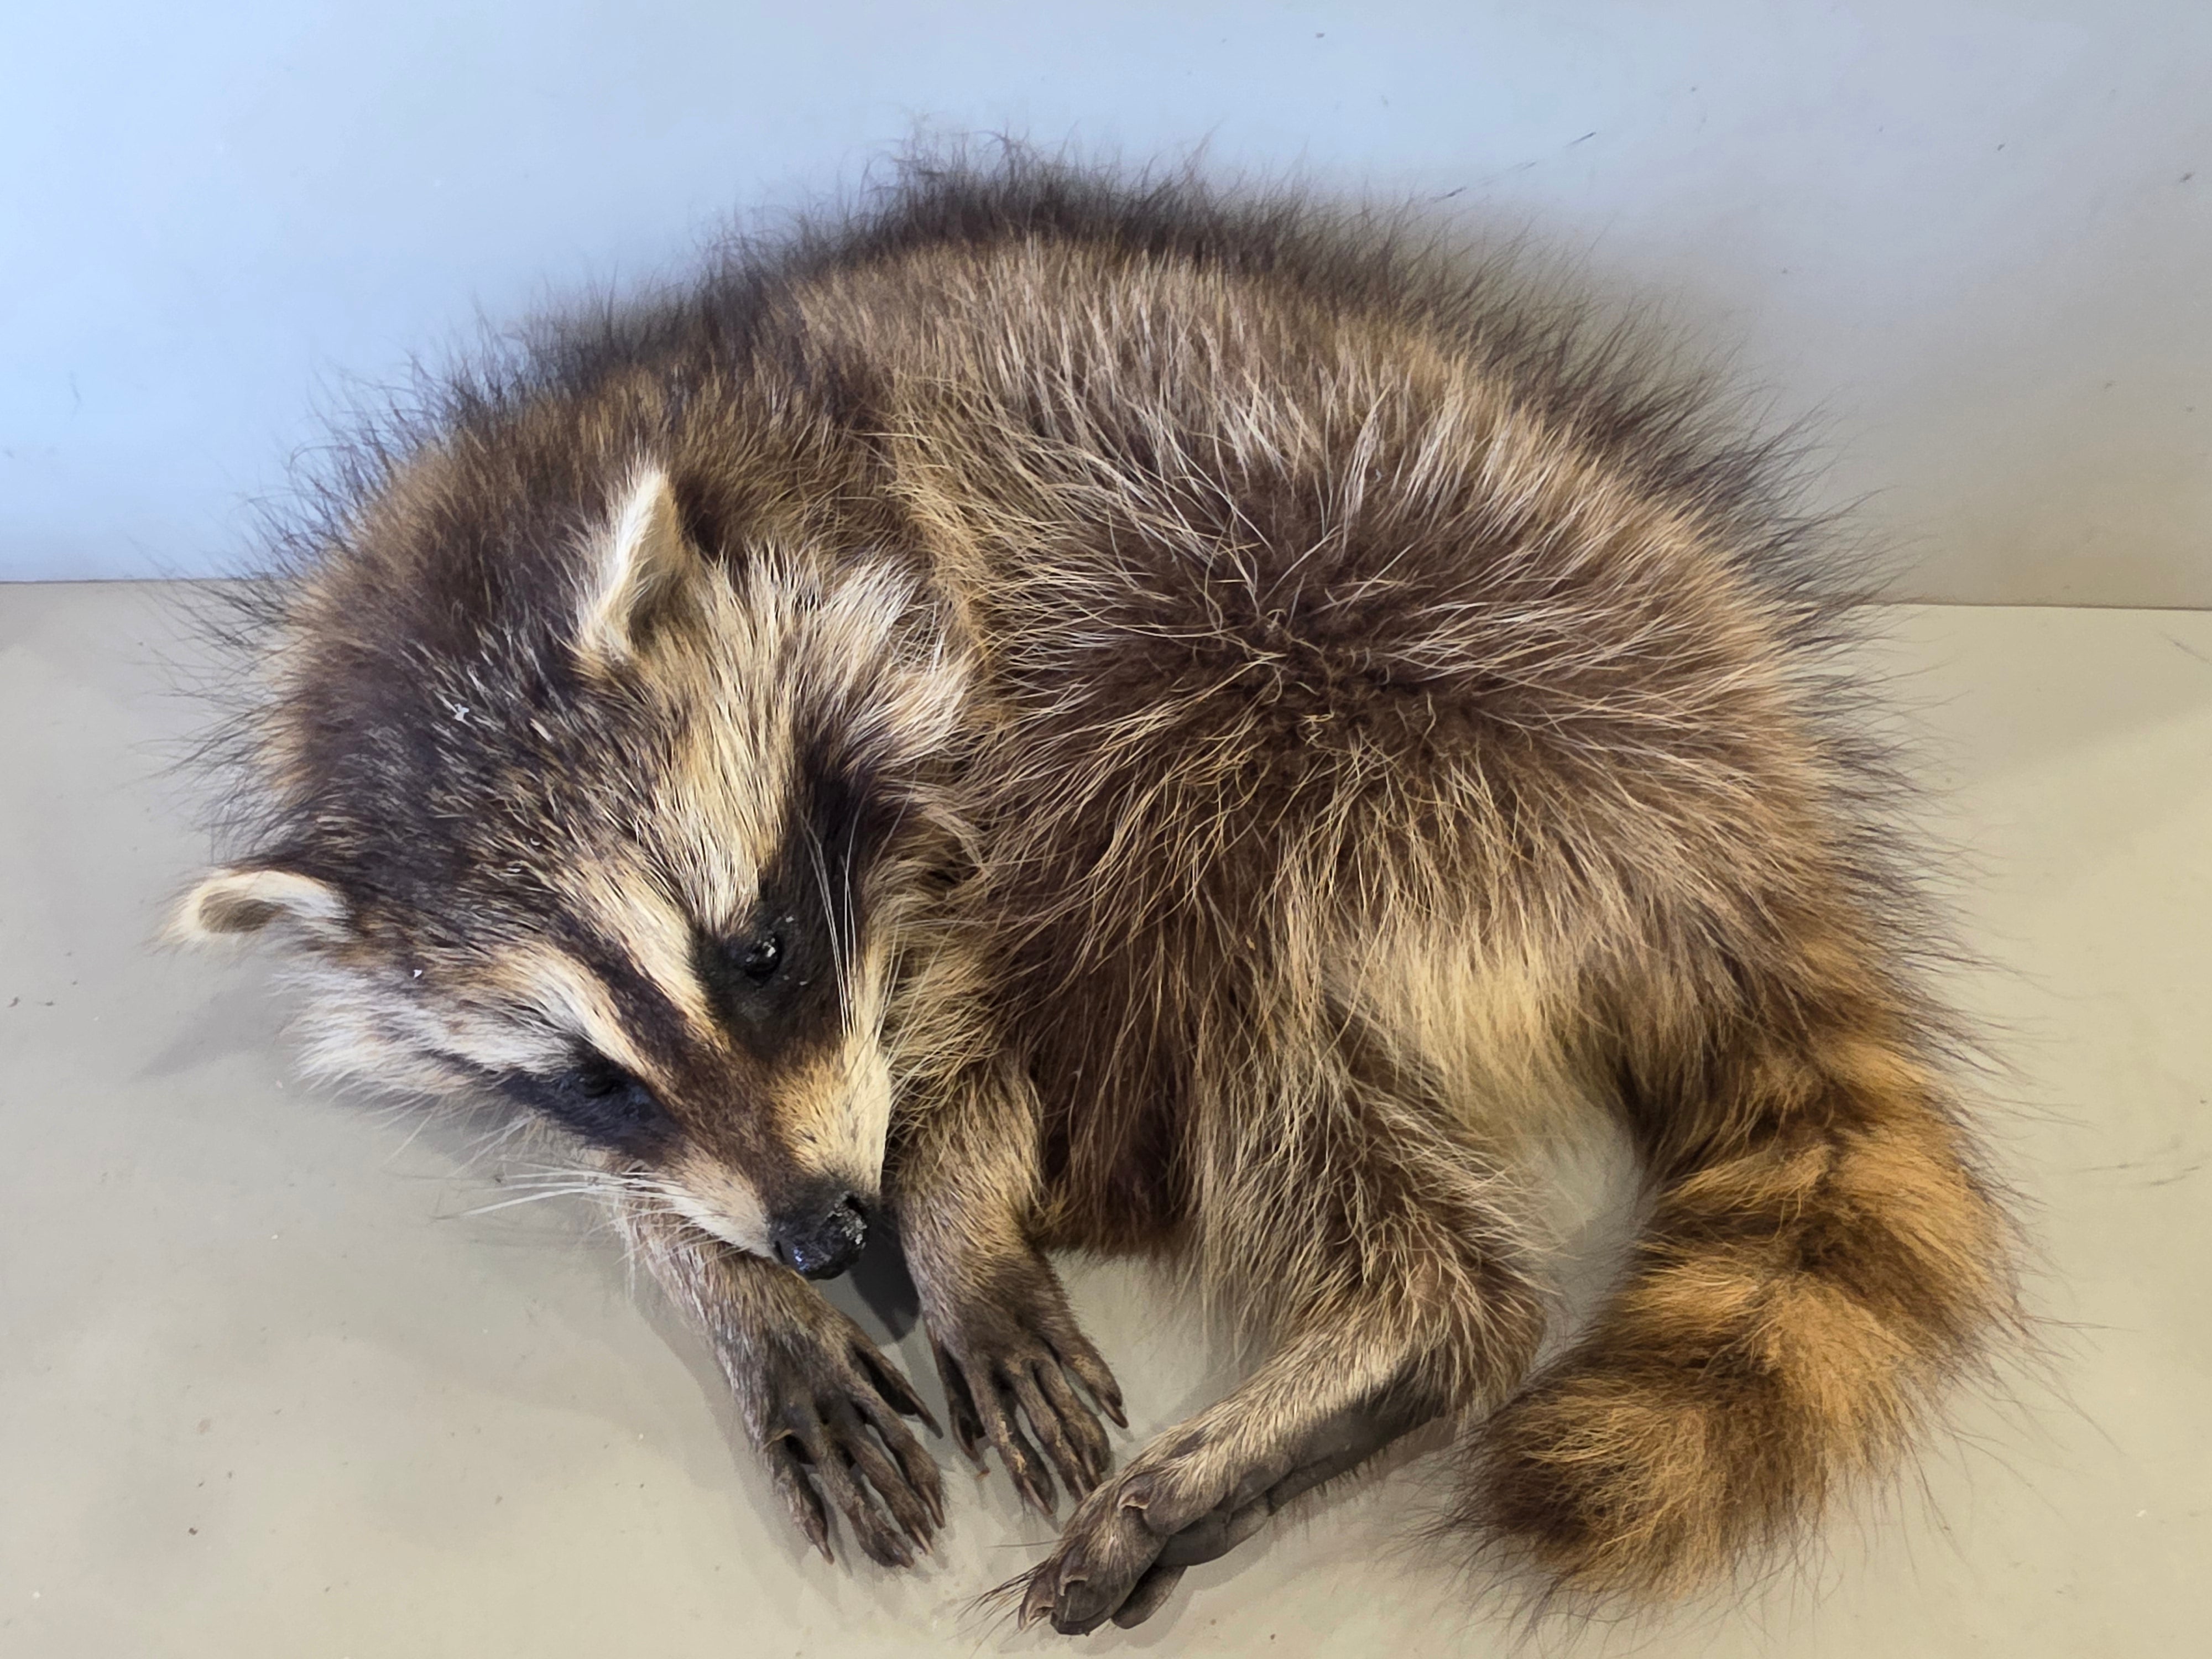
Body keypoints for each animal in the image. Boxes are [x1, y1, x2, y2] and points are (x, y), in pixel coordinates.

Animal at [175, 158, 2015, 1634]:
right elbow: (652, 1175)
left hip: (1394, 652)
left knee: (1229, 944)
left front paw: (956, 1209)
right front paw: (731, 1283)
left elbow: (989, 1018)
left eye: (759, 951)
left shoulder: (978, 710)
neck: (463, 606)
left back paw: (1360, 1299)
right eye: (592, 1077)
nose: (826, 1233)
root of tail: (1753, 809)